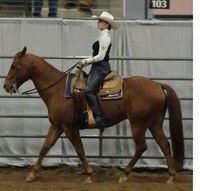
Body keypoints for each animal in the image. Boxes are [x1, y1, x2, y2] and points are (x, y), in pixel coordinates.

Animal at [3, 46, 184, 184]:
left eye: (14, 66)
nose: (6, 86)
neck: (58, 90)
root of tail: (158, 85)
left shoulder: (69, 127)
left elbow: (79, 150)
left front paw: (89, 174)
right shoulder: (57, 126)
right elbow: (44, 148)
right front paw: (32, 174)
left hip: (138, 124)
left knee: (141, 146)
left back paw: (124, 175)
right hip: (154, 124)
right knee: (164, 144)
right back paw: (170, 176)